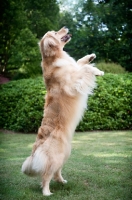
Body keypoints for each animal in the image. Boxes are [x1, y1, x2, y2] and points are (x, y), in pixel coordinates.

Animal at [21, 26, 104, 195]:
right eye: (55, 32)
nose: (65, 27)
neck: (56, 57)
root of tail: (35, 151)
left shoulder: (75, 69)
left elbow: (80, 62)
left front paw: (90, 57)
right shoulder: (73, 83)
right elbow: (84, 69)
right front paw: (97, 71)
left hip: (64, 155)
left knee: (56, 172)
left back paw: (62, 181)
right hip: (54, 157)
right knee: (46, 176)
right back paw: (47, 192)